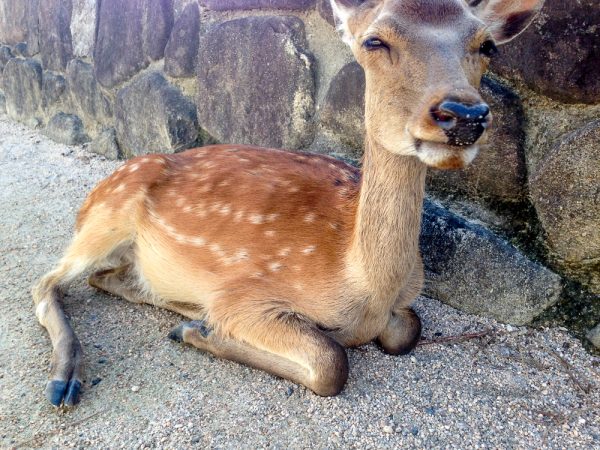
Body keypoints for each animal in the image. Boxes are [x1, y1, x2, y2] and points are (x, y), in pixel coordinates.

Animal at [35, 0, 548, 408]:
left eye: (487, 45)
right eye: (374, 40)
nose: (464, 114)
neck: (364, 288)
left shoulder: (403, 307)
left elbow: (408, 329)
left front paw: (198, 328)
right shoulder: (246, 295)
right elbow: (331, 361)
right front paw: (203, 332)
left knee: (106, 279)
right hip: (106, 216)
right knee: (47, 282)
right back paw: (66, 381)